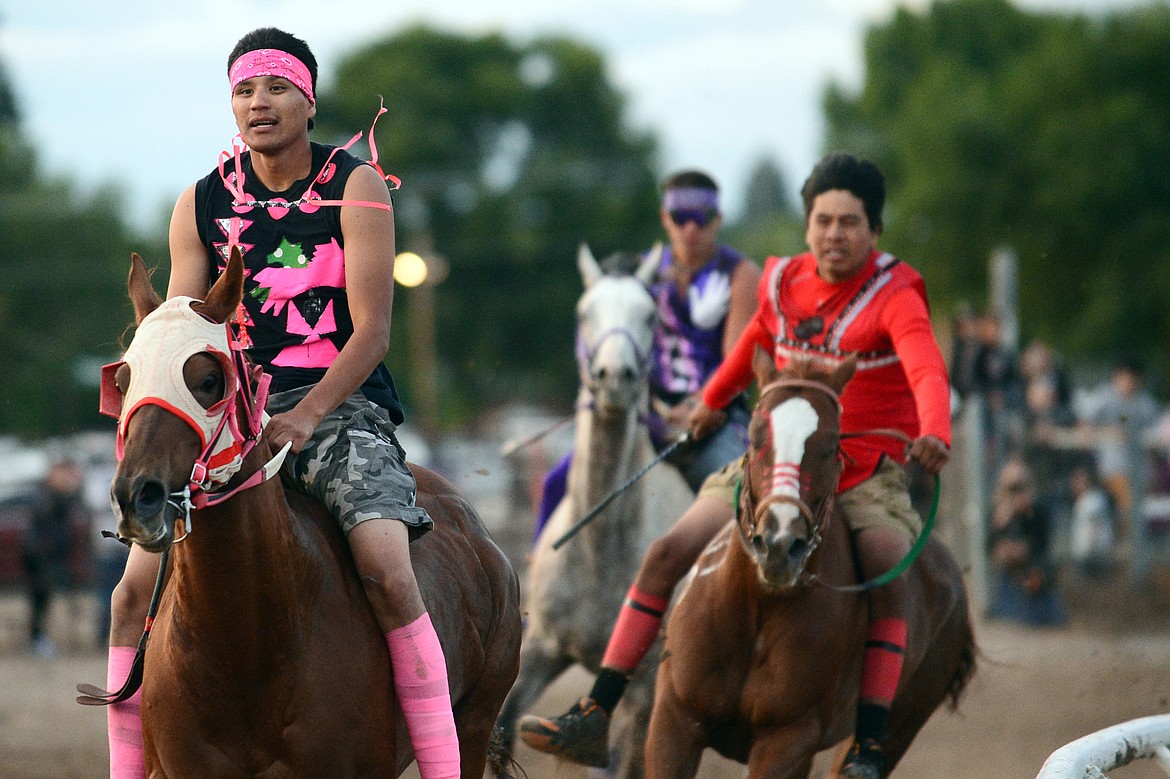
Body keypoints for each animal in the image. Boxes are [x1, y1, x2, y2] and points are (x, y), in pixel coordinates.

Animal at [493, 244, 692, 776]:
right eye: (584, 312)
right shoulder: (538, 649)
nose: (615, 379)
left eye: (650, 316)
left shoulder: (642, 693)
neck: (598, 546)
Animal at [645, 350, 973, 776]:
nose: (780, 543)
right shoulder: (674, 722)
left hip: (898, 724)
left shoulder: (789, 741)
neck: (758, 609)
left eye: (832, 445)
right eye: (755, 436)